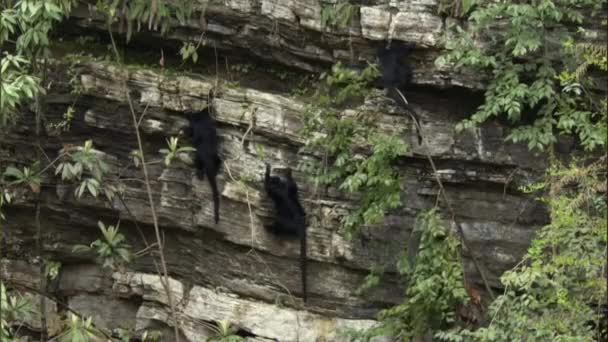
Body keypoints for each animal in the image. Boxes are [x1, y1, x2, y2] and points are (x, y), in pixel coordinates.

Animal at [264, 166, 306, 302]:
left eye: (274, 179)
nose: (275, 177)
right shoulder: (291, 187)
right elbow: (293, 184)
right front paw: (288, 172)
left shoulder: (272, 190)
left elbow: (266, 186)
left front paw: (267, 170)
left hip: (283, 223)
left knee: (278, 226)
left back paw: (270, 228)